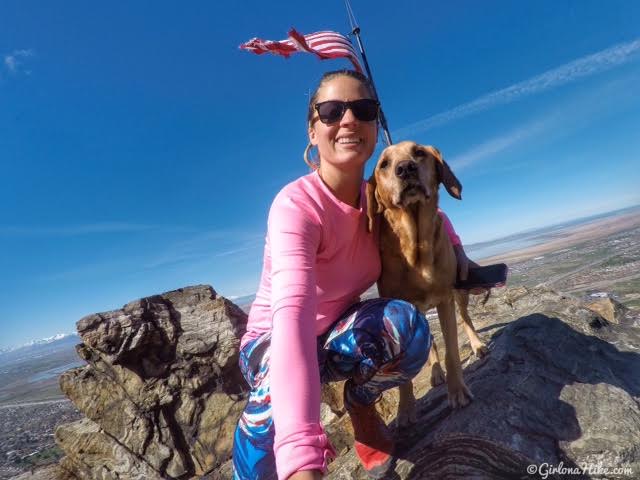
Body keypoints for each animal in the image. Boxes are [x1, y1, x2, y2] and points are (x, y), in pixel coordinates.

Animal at [368, 142, 488, 424]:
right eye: (384, 164)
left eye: (419, 152)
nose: (405, 168)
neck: (416, 245)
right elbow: (402, 374)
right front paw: (405, 410)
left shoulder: (444, 299)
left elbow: (452, 352)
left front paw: (457, 392)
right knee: (431, 341)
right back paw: (434, 371)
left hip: (459, 292)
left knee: (465, 319)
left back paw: (476, 344)